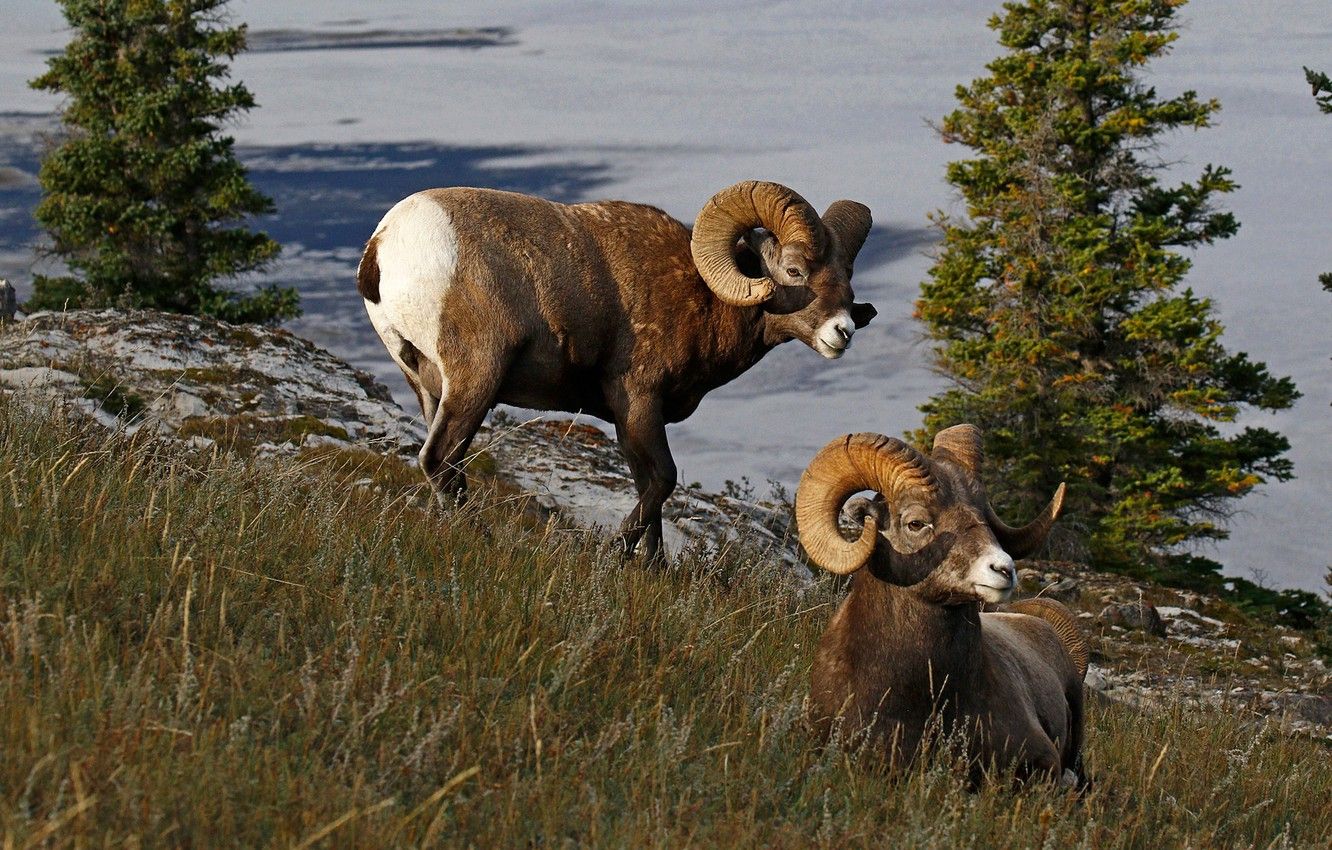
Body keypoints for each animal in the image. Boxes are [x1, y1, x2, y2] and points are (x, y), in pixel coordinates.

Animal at [357, 180, 877, 562]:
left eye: (847, 282)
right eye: (794, 271)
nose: (843, 331)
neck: (701, 298)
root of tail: (384, 245)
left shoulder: (630, 423)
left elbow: (649, 487)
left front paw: (653, 568)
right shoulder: (640, 403)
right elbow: (663, 480)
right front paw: (618, 552)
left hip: (429, 384)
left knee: (448, 465)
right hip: (475, 380)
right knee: (439, 459)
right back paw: (483, 540)